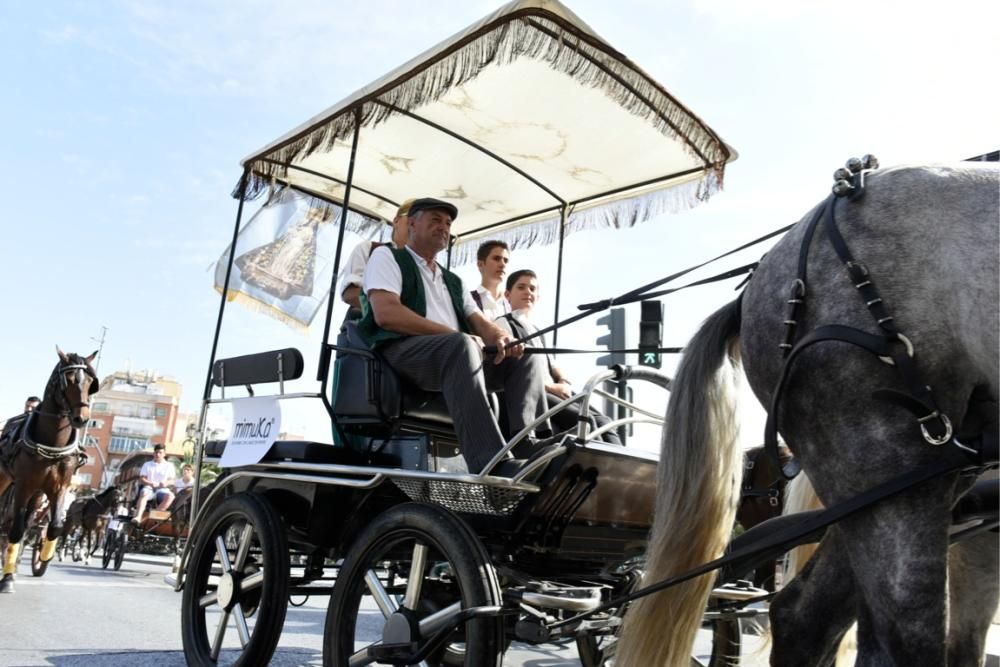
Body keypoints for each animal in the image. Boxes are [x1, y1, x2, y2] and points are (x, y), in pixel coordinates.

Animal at [0, 348, 97, 592]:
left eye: (90, 381)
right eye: (69, 379)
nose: (82, 418)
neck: (51, 442)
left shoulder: (59, 487)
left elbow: (55, 526)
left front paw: (45, 556)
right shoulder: (23, 485)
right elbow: (16, 530)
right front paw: (7, 579)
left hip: (37, 494)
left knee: (30, 523)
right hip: (8, 479)